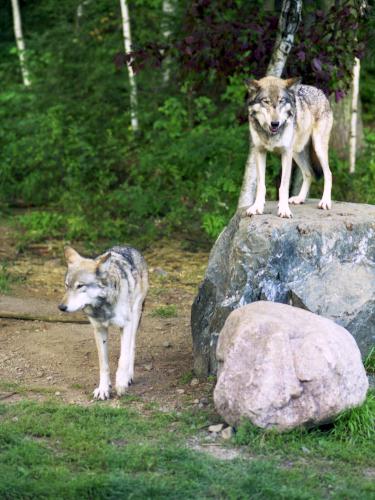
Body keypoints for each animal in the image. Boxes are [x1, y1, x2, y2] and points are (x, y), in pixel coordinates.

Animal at [58, 244, 148, 400]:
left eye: (80, 286)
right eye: (67, 285)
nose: (61, 307)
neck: (102, 306)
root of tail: (127, 246)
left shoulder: (126, 325)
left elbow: (123, 359)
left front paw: (121, 383)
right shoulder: (99, 329)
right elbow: (103, 364)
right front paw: (104, 389)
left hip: (135, 315)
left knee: (131, 347)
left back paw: (129, 376)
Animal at [248, 77, 334, 218]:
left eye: (281, 101)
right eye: (266, 102)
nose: (275, 123)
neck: (271, 134)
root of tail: (320, 91)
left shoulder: (285, 154)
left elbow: (283, 186)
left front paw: (284, 210)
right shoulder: (259, 151)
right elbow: (261, 185)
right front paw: (257, 207)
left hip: (317, 148)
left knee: (328, 173)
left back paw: (325, 202)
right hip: (297, 152)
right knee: (309, 173)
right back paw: (300, 198)